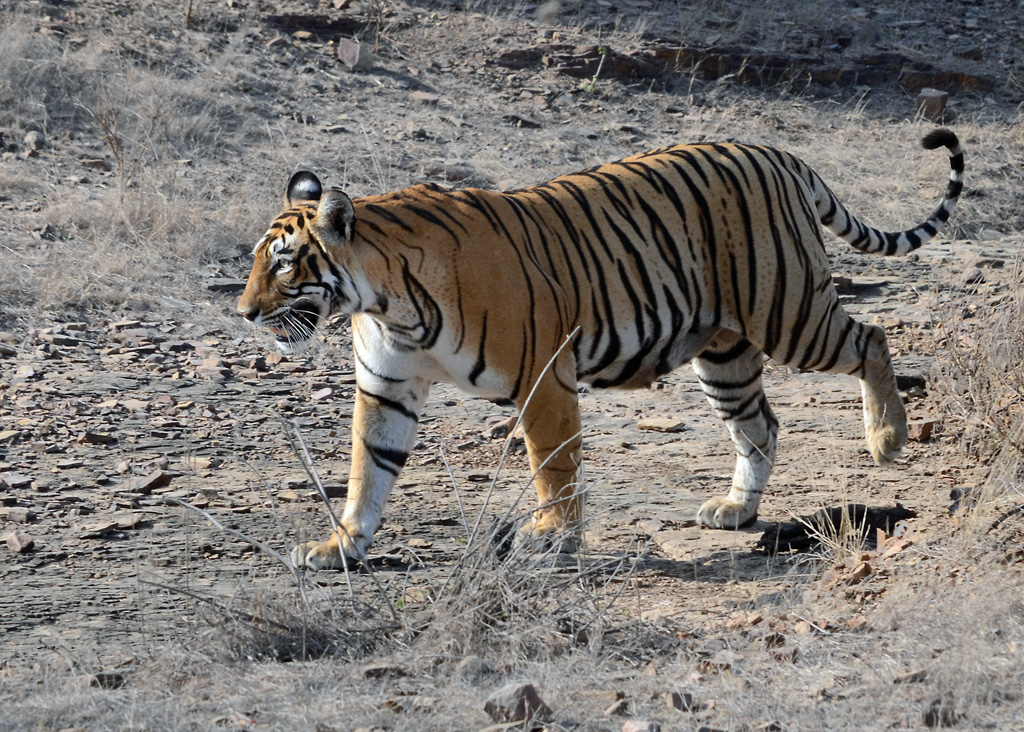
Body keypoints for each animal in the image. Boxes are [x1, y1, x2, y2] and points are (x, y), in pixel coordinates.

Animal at [238, 129, 964, 570]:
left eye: (283, 263)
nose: (244, 312)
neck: (385, 302)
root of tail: (777, 153)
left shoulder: (543, 376)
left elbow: (553, 466)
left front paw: (551, 537)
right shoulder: (385, 387)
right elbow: (369, 472)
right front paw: (339, 547)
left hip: (789, 312)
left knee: (869, 338)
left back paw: (887, 437)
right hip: (724, 354)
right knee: (761, 426)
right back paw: (736, 509)